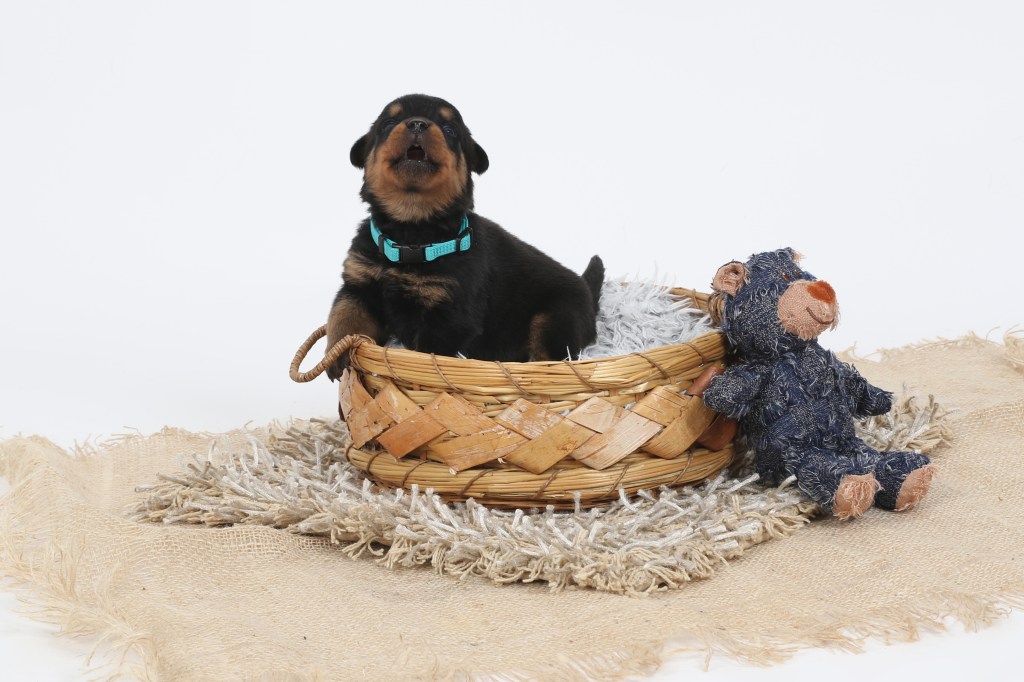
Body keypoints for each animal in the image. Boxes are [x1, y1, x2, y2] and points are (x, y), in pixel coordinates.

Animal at [326, 94, 604, 374]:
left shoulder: (449, 318)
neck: (412, 230)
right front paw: (337, 357)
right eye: (388, 123)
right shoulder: (358, 285)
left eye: (450, 130)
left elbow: (425, 353)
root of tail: (589, 294)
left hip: (555, 318)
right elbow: (343, 316)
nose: (417, 123)